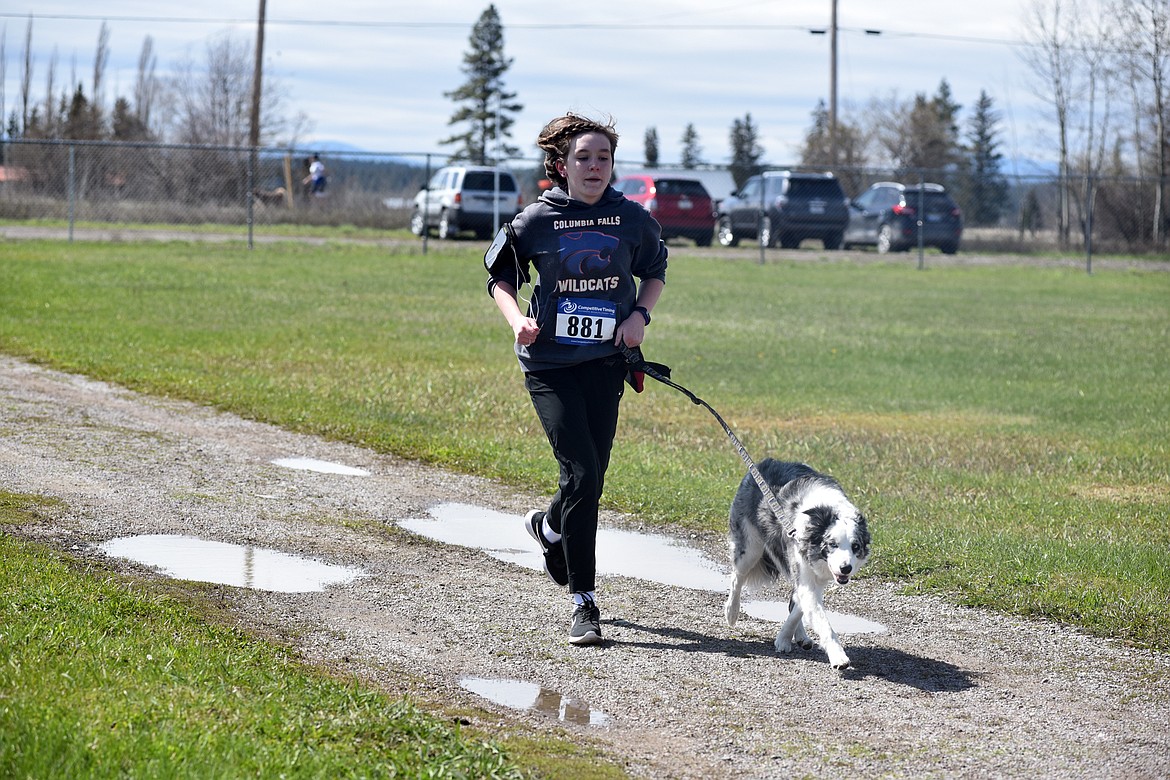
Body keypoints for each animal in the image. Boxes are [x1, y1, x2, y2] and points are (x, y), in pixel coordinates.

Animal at [720, 460, 870, 668]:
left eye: (855, 546)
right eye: (833, 544)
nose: (845, 568)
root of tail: (764, 462)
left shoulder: (816, 575)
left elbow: (800, 607)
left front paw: (784, 638)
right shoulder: (804, 569)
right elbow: (822, 621)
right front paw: (838, 656)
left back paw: (801, 637)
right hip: (749, 548)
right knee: (737, 577)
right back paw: (732, 612)